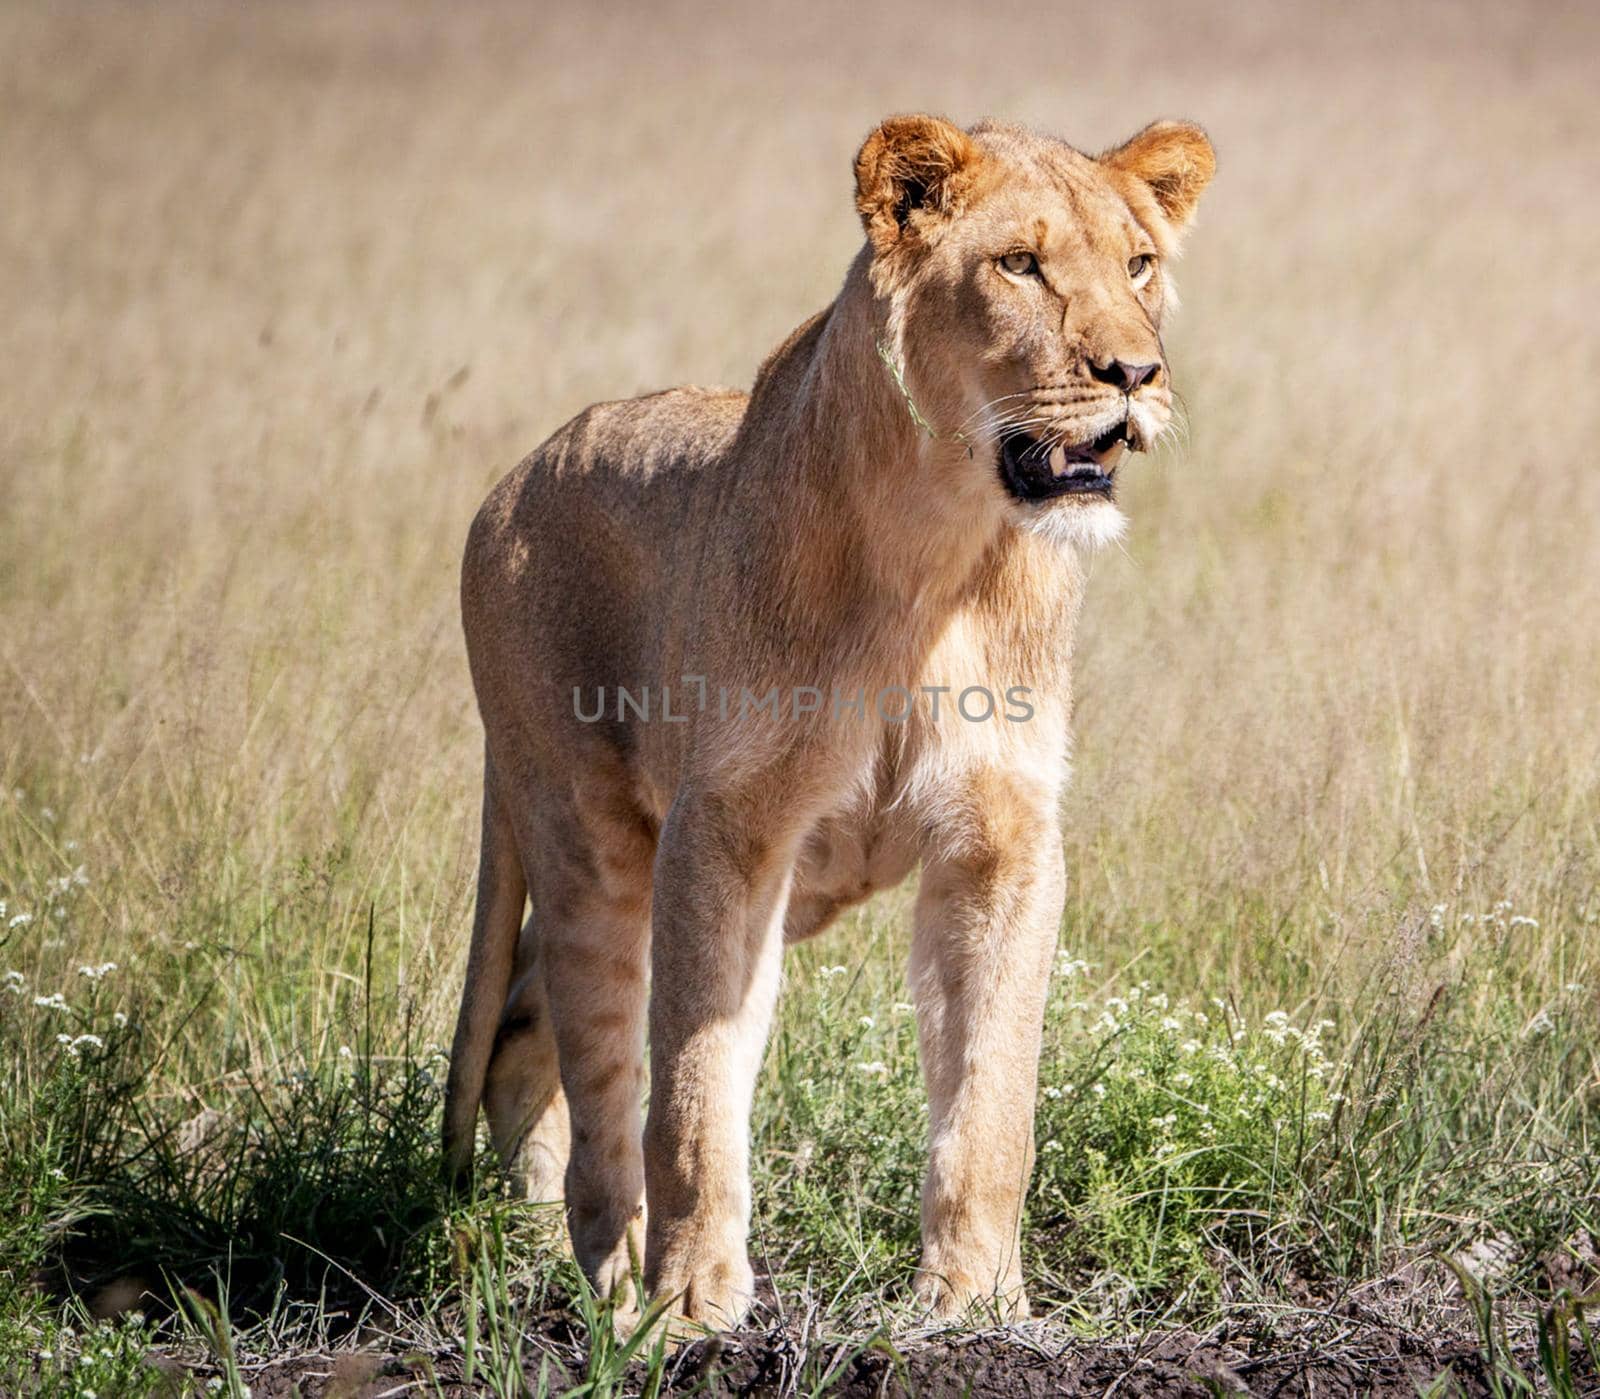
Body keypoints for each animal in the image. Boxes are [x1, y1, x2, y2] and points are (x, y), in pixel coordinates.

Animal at [438, 114, 1209, 1325]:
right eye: (1020, 265)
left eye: (1138, 264)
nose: (1134, 372)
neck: (941, 549)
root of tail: (507, 482)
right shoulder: (728, 826)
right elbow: (694, 1087)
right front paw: (692, 1301)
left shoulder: (1002, 839)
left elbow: (993, 1099)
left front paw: (975, 1299)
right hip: (590, 833)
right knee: (592, 1035)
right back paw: (606, 1271)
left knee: (524, 1006)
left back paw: (533, 1237)